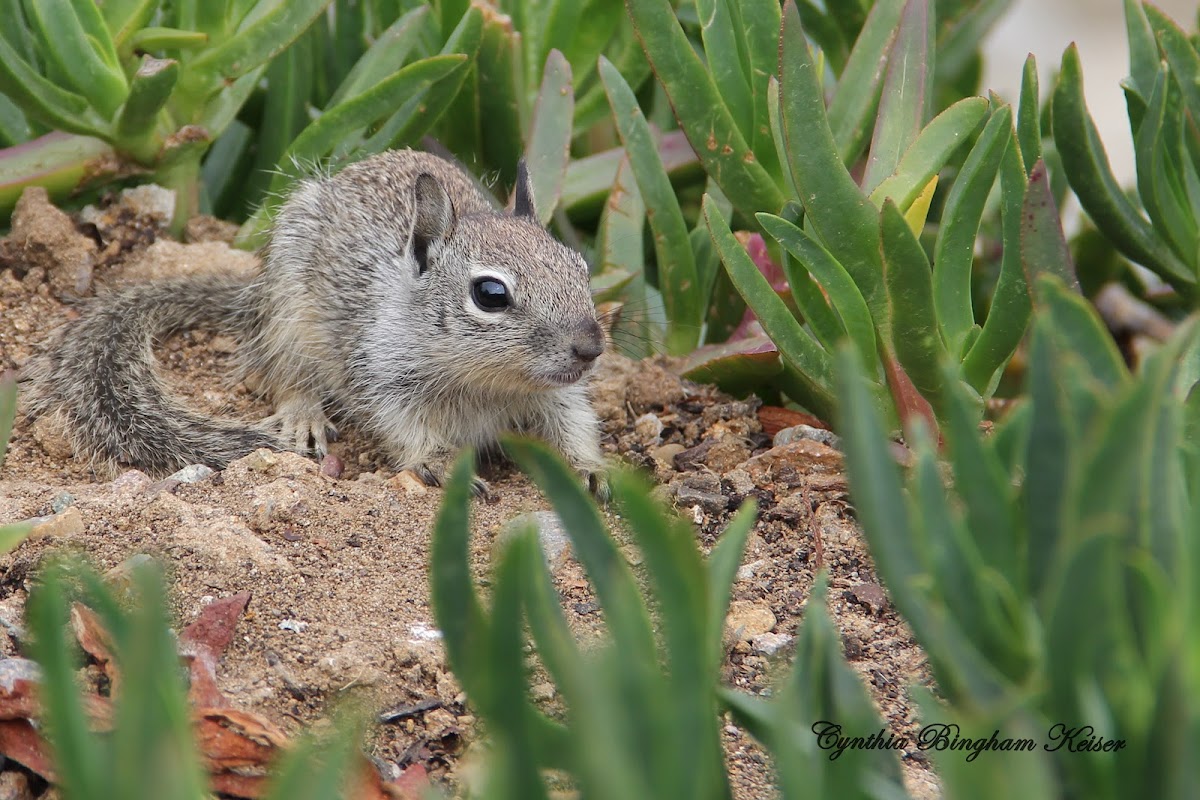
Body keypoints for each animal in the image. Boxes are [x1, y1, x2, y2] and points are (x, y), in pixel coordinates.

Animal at [21, 146, 609, 491]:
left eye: (581, 267)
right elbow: (405, 428)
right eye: (490, 294)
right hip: (288, 317)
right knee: (286, 375)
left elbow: (573, 425)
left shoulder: (559, 395)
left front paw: (590, 469)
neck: (490, 382)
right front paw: (439, 463)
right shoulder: (384, 375)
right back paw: (303, 414)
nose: (590, 348)